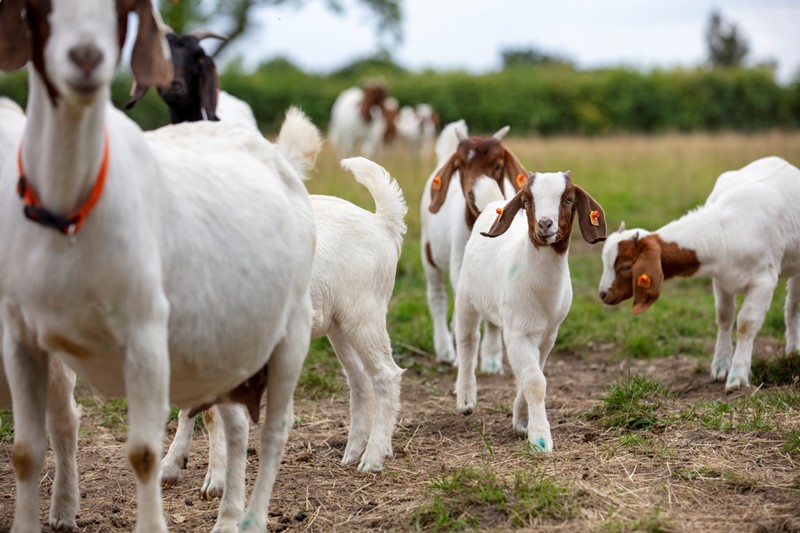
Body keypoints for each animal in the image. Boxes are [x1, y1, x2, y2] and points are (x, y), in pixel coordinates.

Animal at [0, 4, 318, 532]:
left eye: (197, 56)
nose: (85, 59)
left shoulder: (146, 335)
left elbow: (142, 453)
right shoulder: (23, 339)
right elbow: (25, 451)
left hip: (289, 335)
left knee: (275, 429)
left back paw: (247, 516)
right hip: (226, 345)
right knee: (234, 422)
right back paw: (226, 513)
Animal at [422, 120, 528, 370]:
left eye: (498, 165)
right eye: (460, 166)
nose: (473, 194)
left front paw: (491, 360)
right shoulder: (459, 264)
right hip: (428, 253)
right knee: (437, 298)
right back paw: (445, 349)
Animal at [454, 170, 604, 448]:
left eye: (568, 199)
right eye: (526, 201)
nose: (545, 224)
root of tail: (494, 201)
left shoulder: (548, 335)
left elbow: (532, 375)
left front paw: (522, 422)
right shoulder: (517, 332)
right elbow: (534, 381)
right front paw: (540, 439)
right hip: (466, 296)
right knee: (468, 340)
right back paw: (466, 399)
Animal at [600, 156, 800, 388]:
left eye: (625, 266)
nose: (603, 294)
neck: (725, 231)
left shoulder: (763, 281)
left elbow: (746, 323)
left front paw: (737, 375)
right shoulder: (720, 280)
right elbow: (724, 316)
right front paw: (720, 366)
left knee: (792, 307)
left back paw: (793, 354)